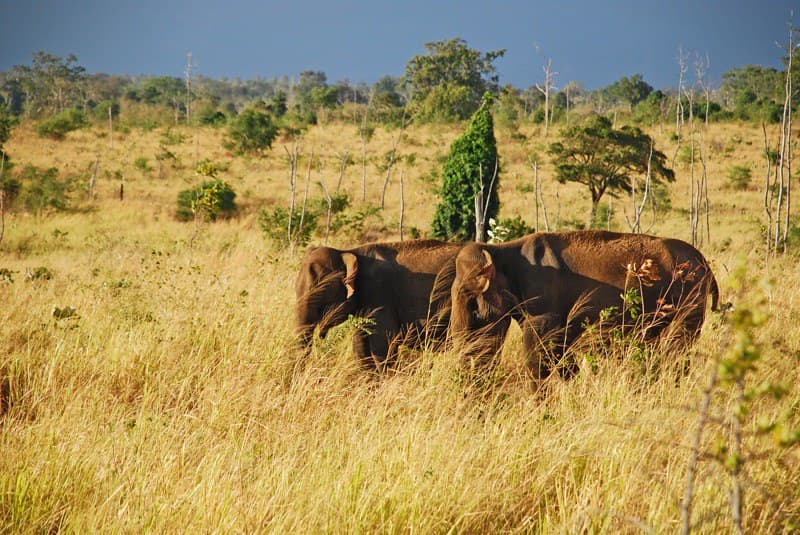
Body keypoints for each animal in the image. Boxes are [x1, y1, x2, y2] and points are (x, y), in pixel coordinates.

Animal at [450, 232, 720, 378]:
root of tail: (705, 264)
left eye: (466, 294)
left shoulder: (544, 305)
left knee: (676, 349)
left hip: (690, 303)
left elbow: (537, 356)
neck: (502, 251)